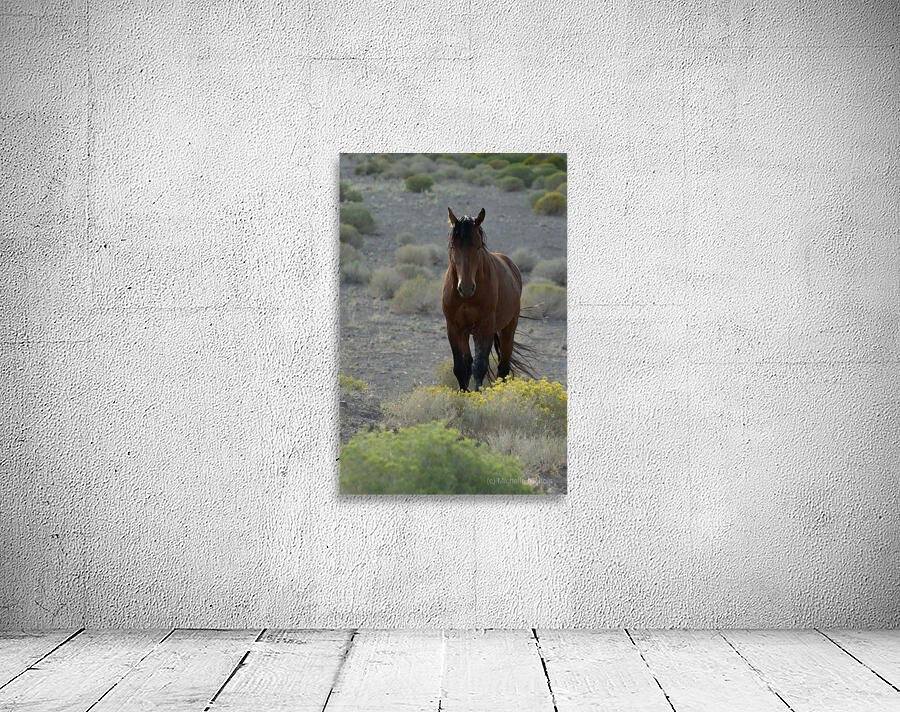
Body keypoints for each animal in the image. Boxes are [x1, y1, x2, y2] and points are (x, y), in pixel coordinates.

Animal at [442, 207, 536, 391]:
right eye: (453, 246)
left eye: (478, 247)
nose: (466, 287)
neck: (466, 299)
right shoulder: (454, 328)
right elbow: (461, 368)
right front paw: (464, 395)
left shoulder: (484, 329)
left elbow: (480, 367)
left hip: (508, 329)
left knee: (503, 367)